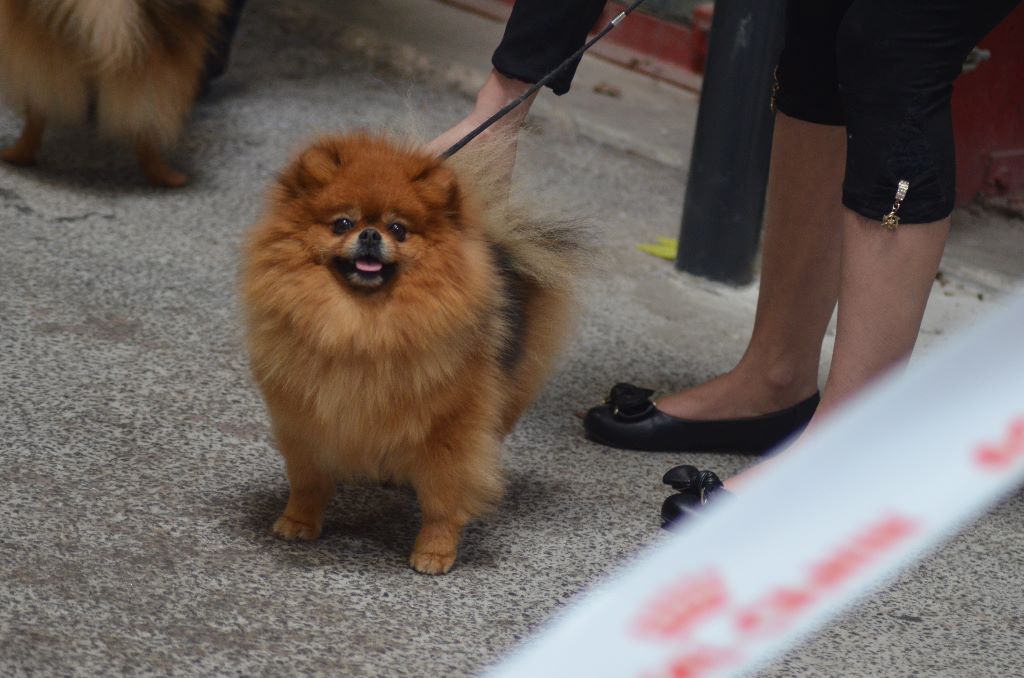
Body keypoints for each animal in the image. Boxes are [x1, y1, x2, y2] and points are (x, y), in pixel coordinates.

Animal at [241, 135, 585, 577]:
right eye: (342, 224)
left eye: (399, 229)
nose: (371, 235)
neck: (363, 325)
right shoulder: (305, 422)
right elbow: (308, 481)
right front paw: (299, 521)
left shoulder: (450, 431)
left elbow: (443, 498)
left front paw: (435, 552)